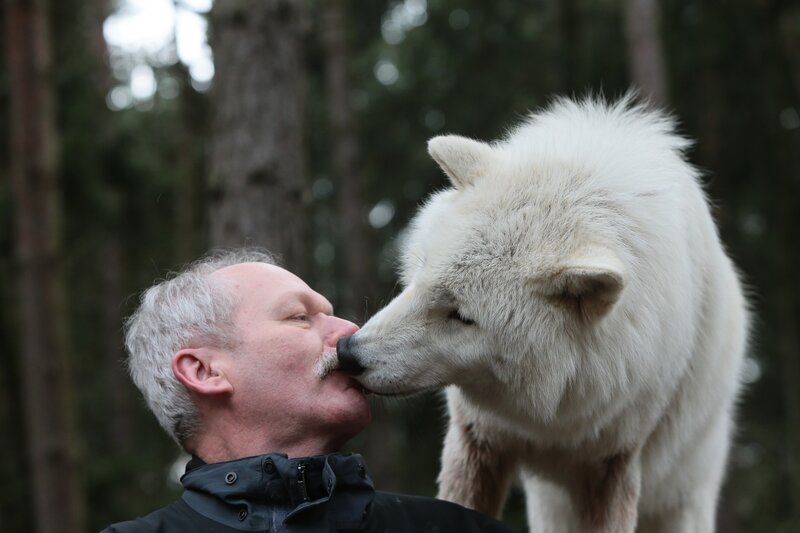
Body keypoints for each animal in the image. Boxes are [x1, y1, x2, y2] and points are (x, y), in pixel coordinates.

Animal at [336, 95, 747, 532]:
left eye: (461, 316)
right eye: (420, 278)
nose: (348, 352)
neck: (548, 415)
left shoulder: (613, 464)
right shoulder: (476, 438)